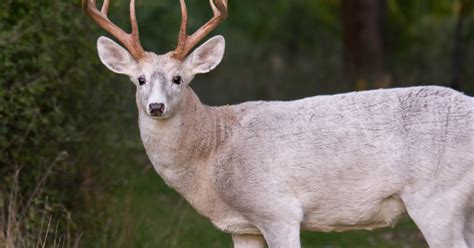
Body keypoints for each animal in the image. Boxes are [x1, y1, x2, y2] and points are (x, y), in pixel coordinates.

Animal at [82, 0, 474, 248]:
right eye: (140, 80)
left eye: (179, 79)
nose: (156, 106)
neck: (214, 152)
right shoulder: (242, 227)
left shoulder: (278, 210)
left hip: (436, 197)